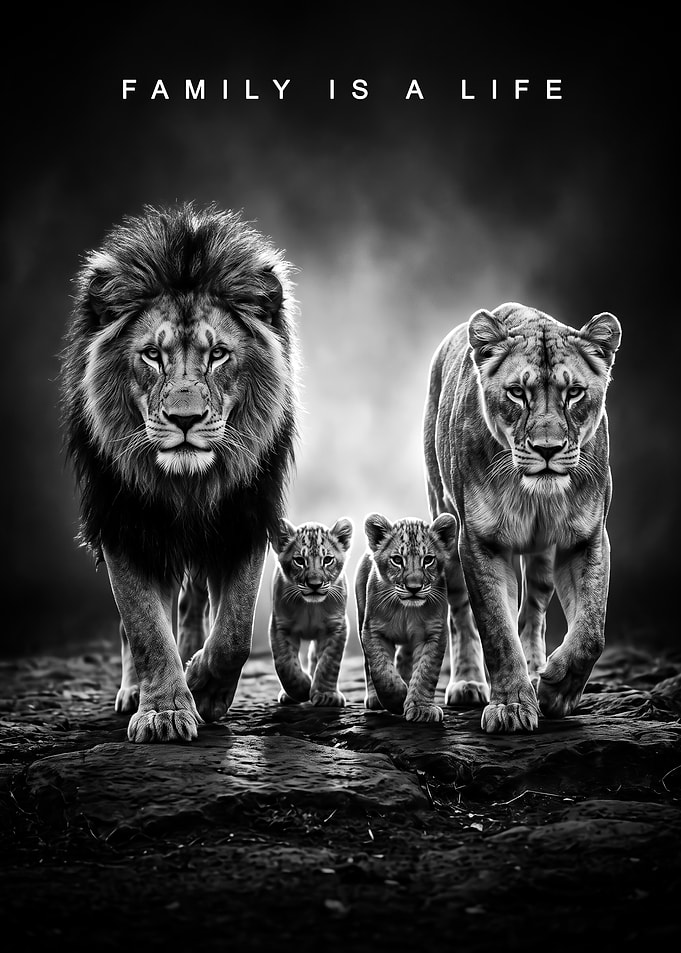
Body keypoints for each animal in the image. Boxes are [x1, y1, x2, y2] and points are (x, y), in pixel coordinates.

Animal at [60, 202, 300, 743]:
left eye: (218, 354)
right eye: (152, 354)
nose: (184, 419)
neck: (187, 485)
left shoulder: (244, 517)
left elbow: (233, 631)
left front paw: (205, 690)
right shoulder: (124, 523)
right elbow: (145, 627)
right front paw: (164, 710)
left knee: (194, 607)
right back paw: (135, 691)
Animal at [423, 302, 621, 733]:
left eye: (574, 393)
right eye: (517, 393)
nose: (548, 449)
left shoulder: (587, 538)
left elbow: (591, 632)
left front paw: (556, 692)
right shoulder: (480, 542)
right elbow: (496, 630)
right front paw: (511, 706)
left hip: (543, 556)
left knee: (534, 608)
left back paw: (535, 670)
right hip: (444, 521)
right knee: (460, 614)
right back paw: (468, 683)